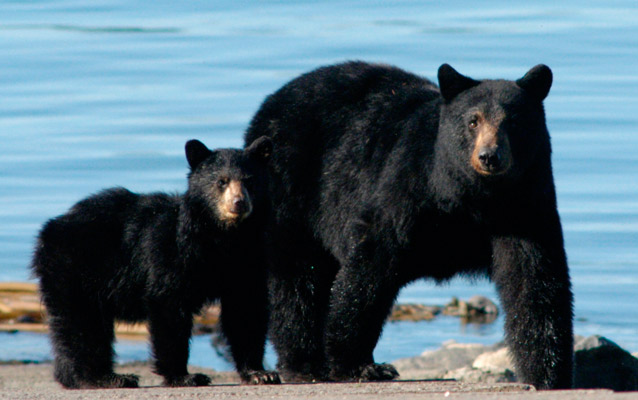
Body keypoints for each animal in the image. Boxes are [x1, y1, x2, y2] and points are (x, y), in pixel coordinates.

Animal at [30, 137, 280, 388]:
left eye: (250, 180)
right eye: (221, 182)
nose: (239, 203)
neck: (225, 237)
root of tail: (49, 230)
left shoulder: (247, 260)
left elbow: (245, 308)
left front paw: (260, 373)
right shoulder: (171, 251)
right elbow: (168, 305)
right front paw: (185, 376)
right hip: (75, 271)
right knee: (84, 326)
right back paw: (106, 377)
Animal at [245, 61, 576, 390]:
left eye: (515, 122)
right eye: (473, 121)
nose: (489, 156)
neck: (473, 198)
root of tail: (272, 100)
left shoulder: (525, 208)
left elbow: (535, 282)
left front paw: (546, 373)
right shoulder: (408, 189)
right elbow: (370, 268)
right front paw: (356, 364)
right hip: (291, 190)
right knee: (296, 278)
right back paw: (305, 363)